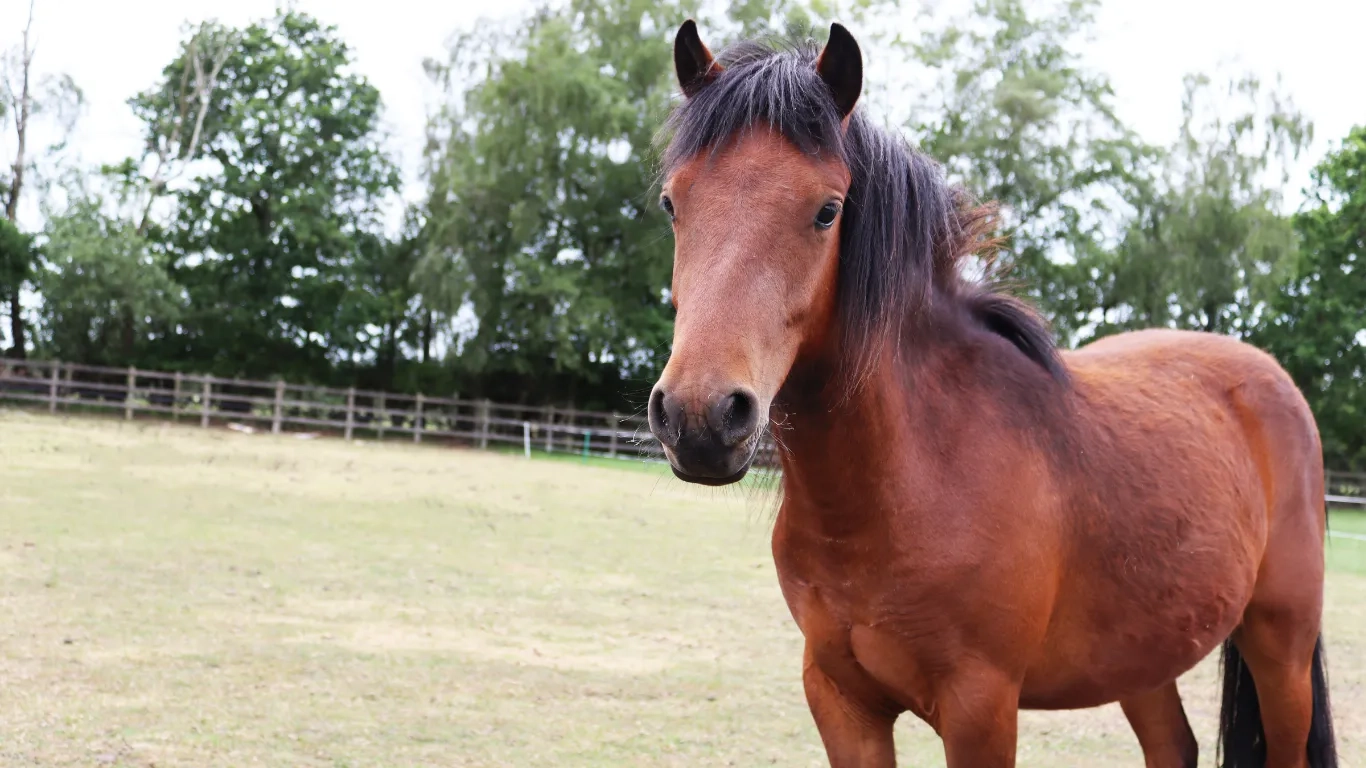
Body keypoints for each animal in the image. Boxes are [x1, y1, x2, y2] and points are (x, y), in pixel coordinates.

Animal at [646, 20, 1337, 768]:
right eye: (672, 203)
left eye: (827, 210)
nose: (700, 418)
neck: (913, 475)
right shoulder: (839, 699)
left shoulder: (981, 708)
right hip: (1143, 653)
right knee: (1172, 746)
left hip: (1280, 647)